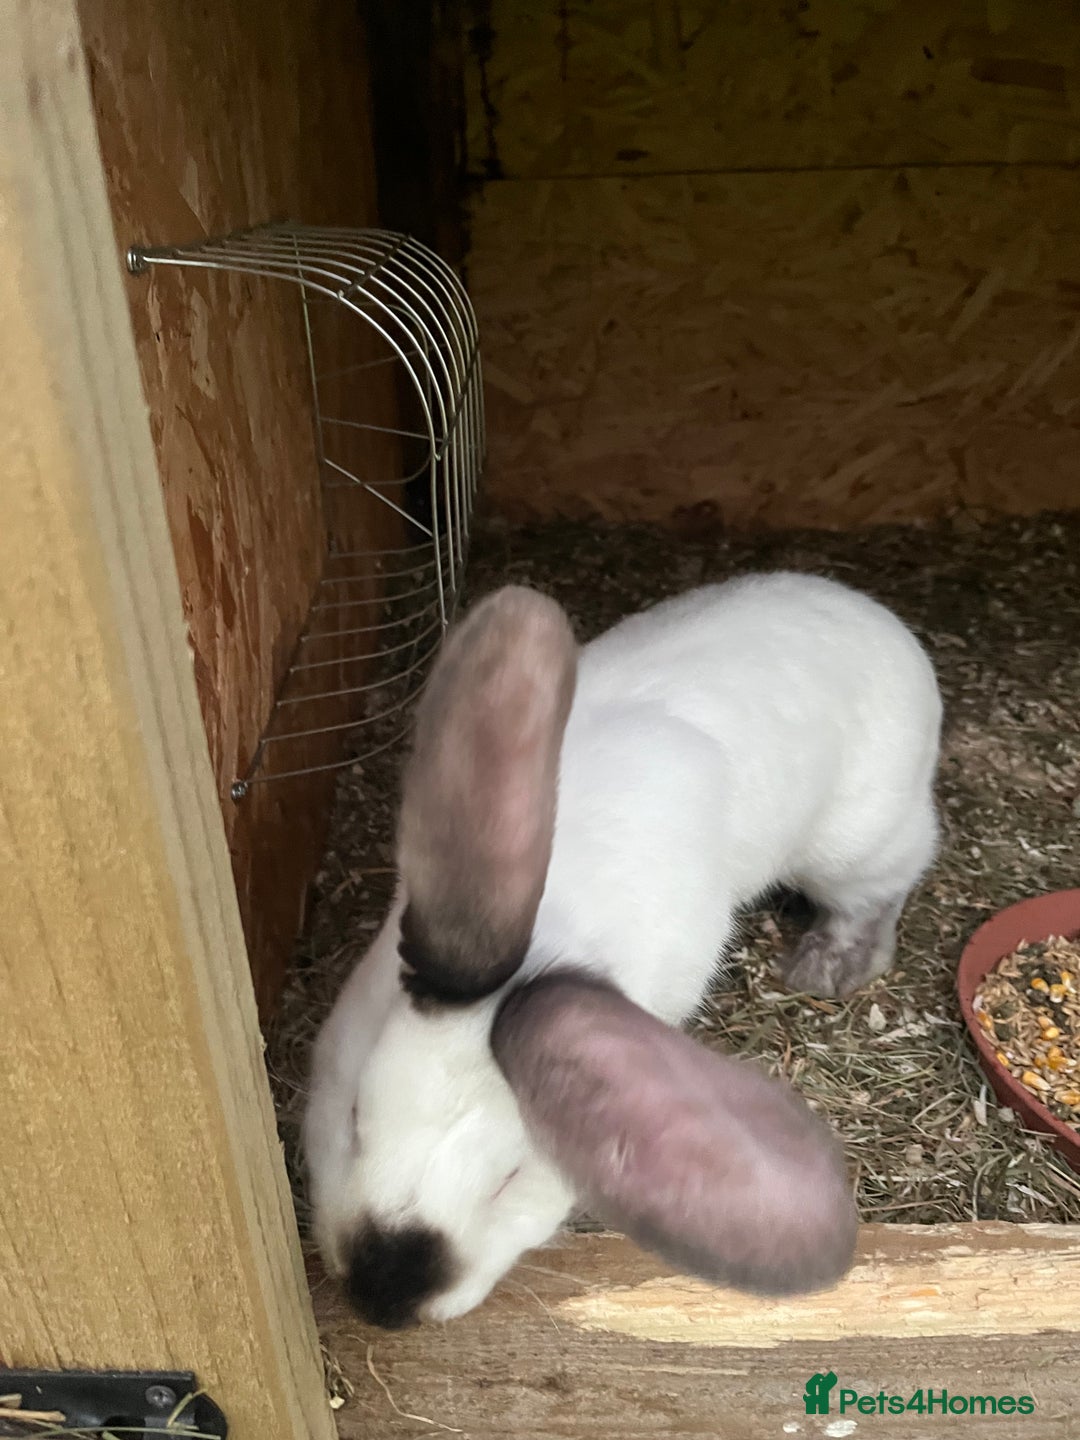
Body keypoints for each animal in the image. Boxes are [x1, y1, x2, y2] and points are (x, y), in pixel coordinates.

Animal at [303, 572, 942, 1330]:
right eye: (354, 1118)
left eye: (510, 1179)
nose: (382, 1297)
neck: (548, 940)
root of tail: (874, 616)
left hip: (859, 841)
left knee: (882, 887)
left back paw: (825, 966)